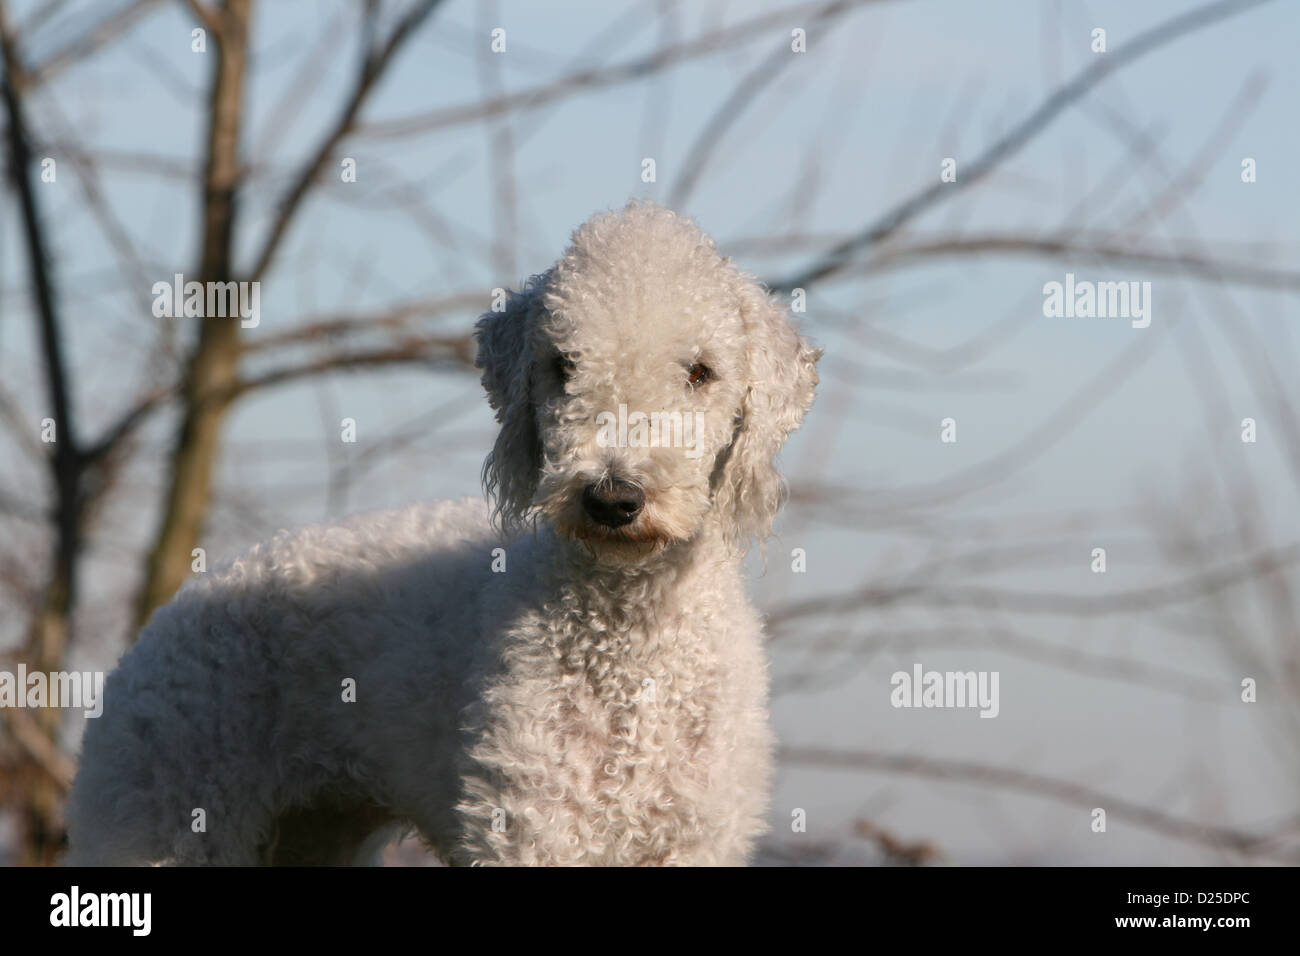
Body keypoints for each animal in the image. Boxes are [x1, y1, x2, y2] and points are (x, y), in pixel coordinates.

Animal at [65, 201, 816, 868]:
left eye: (701, 372)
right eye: (563, 366)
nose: (612, 499)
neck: (630, 633)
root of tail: (157, 630)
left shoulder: (695, 838)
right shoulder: (532, 828)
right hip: (165, 803)